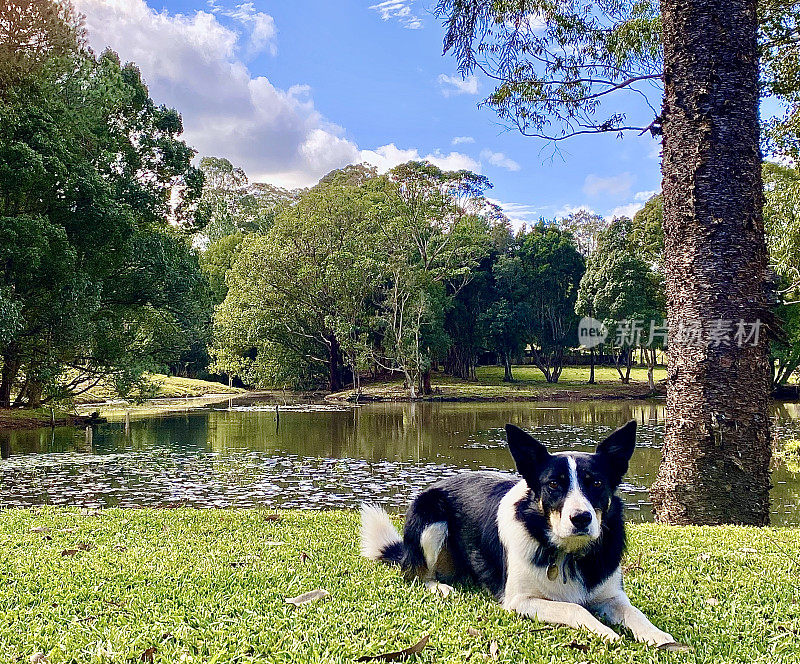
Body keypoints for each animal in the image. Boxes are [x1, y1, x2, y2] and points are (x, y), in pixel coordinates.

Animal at [360, 420, 680, 648]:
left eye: (597, 483)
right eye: (554, 484)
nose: (581, 518)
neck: (568, 553)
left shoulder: (612, 596)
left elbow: (635, 613)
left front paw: (659, 636)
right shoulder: (521, 601)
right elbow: (574, 609)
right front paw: (605, 632)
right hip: (431, 520)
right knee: (416, 574)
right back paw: (439, 586)